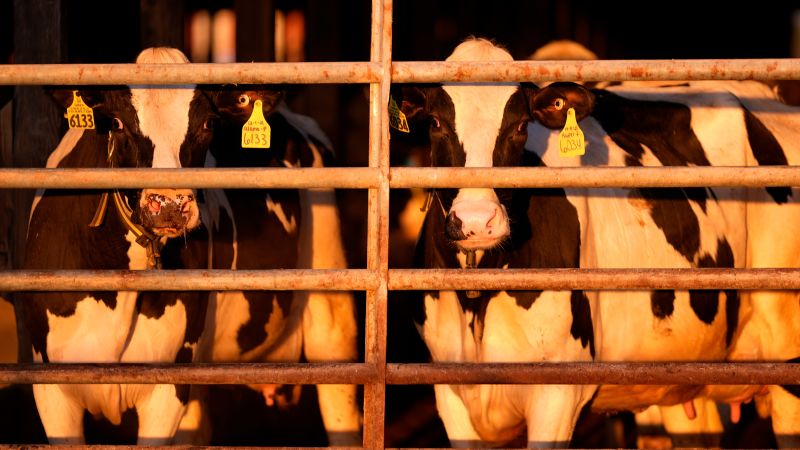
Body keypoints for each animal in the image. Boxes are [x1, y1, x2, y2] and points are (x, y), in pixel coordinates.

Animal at [395, 37, 800, 448]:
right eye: (435, 123)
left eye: (520, 126)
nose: (478, 220)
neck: (476, 301)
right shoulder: (450, 393)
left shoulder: (557, 394)